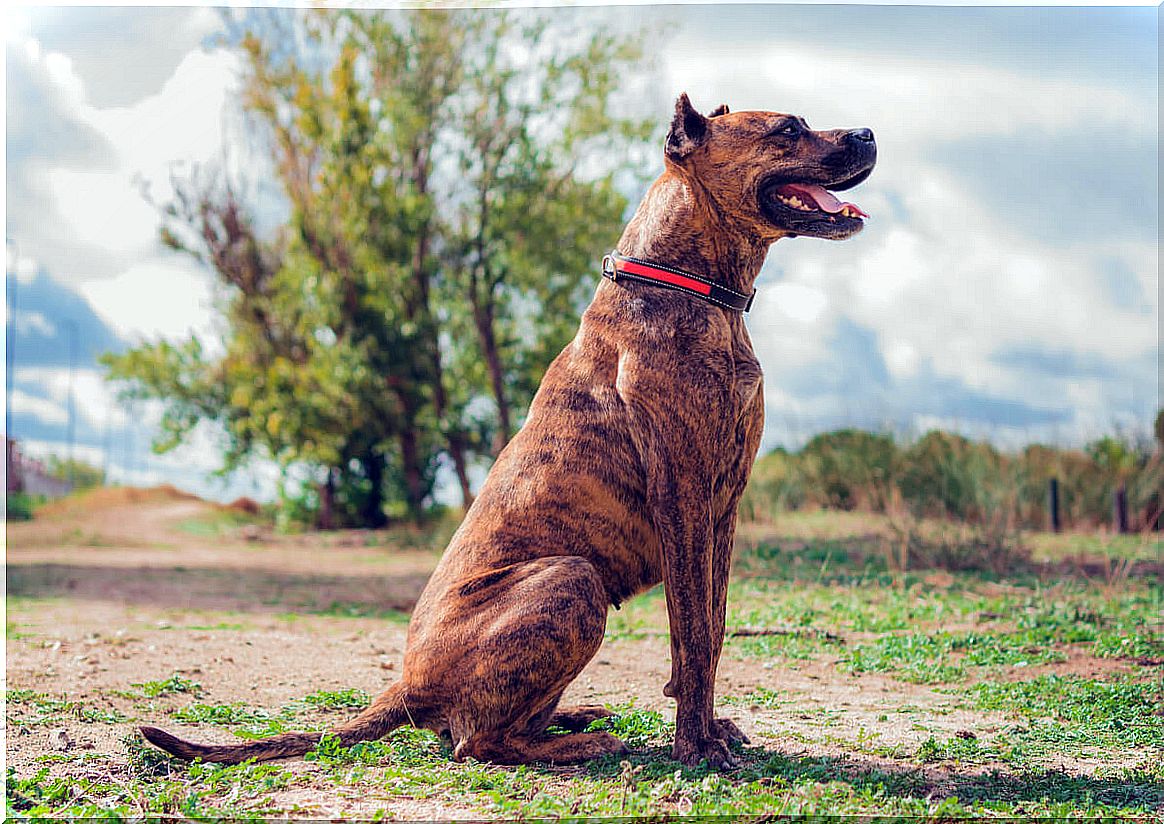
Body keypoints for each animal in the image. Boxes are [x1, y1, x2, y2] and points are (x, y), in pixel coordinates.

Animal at [140, 93, 875, 768]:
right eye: (788, 129)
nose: (868, 131)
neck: (692, 287)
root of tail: (404, 684)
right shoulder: (685, 501)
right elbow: (692, 636)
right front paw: (696, 748)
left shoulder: (722, 510)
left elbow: (713, 628)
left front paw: (710, 729)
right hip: (571, 580)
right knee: (477, 743)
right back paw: (586, 742)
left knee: (479, 730)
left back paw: (577, 719)